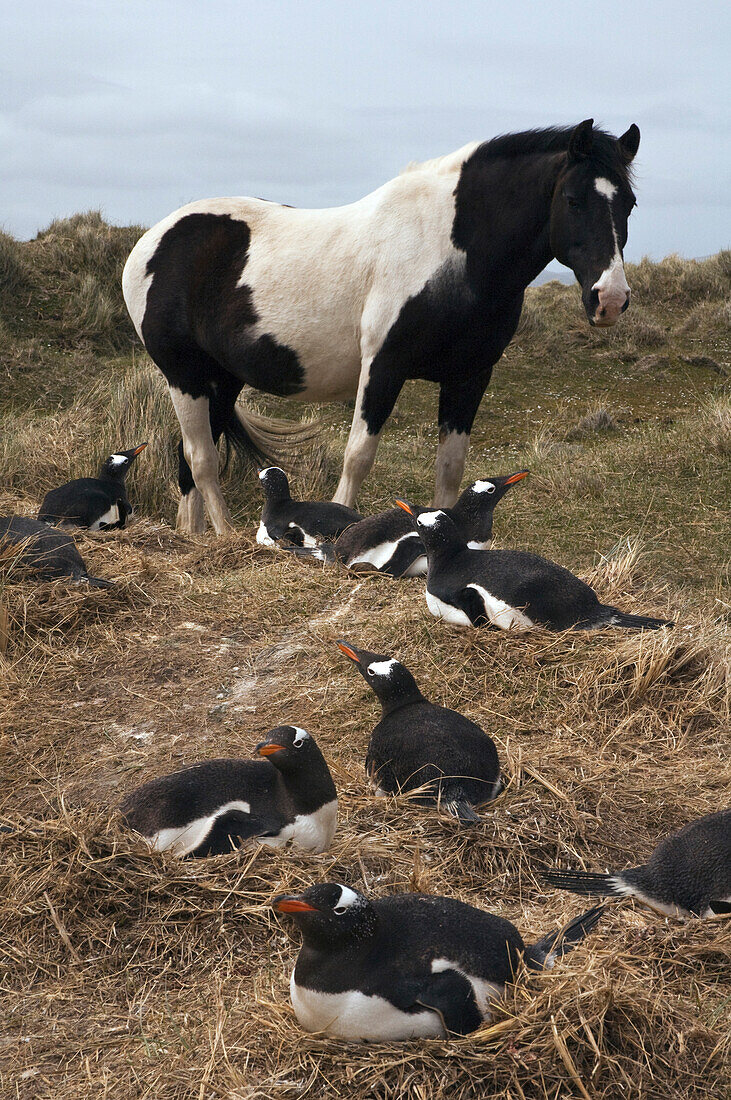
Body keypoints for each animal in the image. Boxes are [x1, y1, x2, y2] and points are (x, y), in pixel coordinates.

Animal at [122, 119, 637, 532]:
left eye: (629, 203)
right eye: (573, 200)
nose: (609, 299)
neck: (450, 253)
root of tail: (155, 239)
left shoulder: (470, 376)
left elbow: (450, 467)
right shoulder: (383, 365)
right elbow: (358, 456)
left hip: (220, 380)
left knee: (189, 460)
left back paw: (193, 538)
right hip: (184, 375)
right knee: (201, 459)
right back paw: (227, 535)